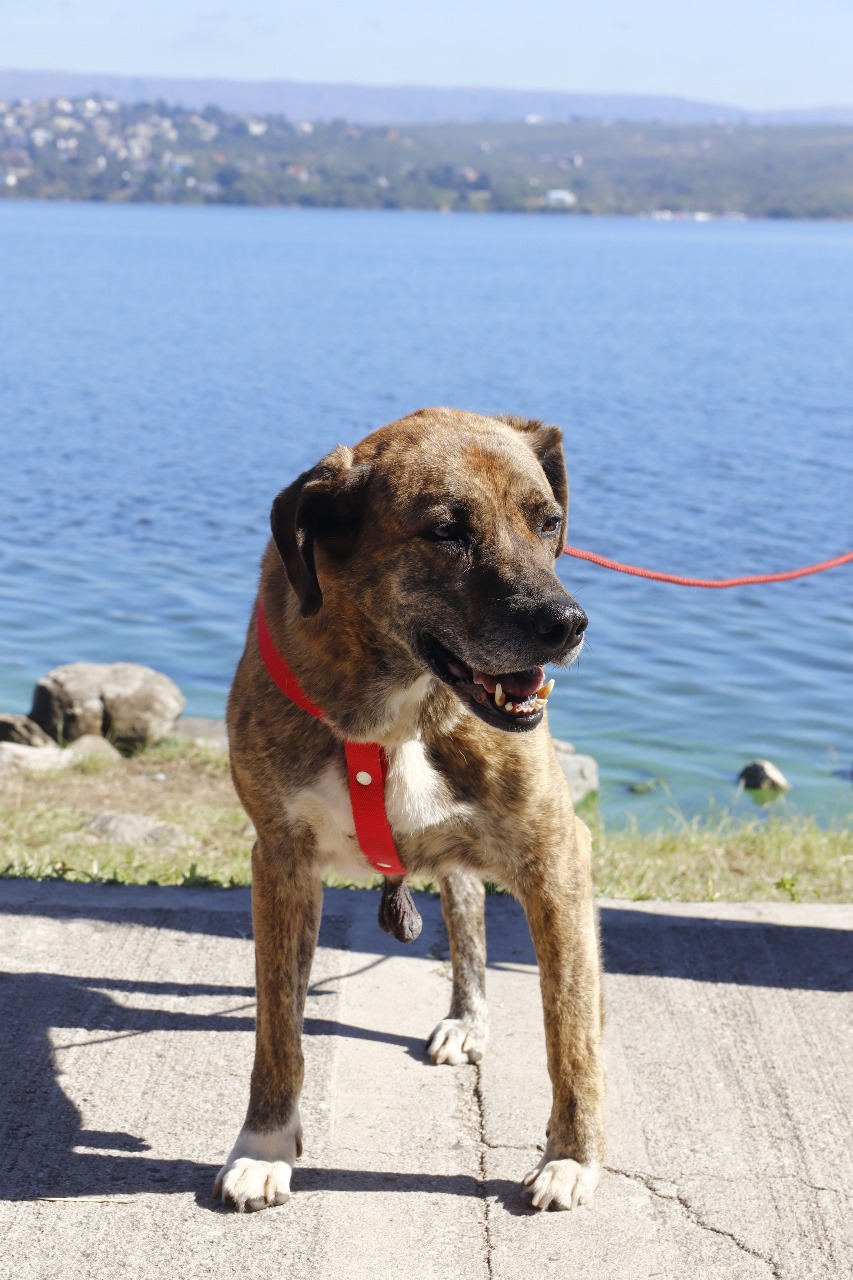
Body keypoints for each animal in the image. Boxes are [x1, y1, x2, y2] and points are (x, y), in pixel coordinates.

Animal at [214, 408, 605, 1213]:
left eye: (548, 522)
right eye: (446, 531)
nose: (567, 624)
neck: (403, 702)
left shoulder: (557, 857)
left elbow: (570, 1029)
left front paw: (571, 1158)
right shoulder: (281, 861)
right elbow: (277, 1028)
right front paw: (263, 1146)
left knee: (468, 917)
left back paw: (468, 1019)